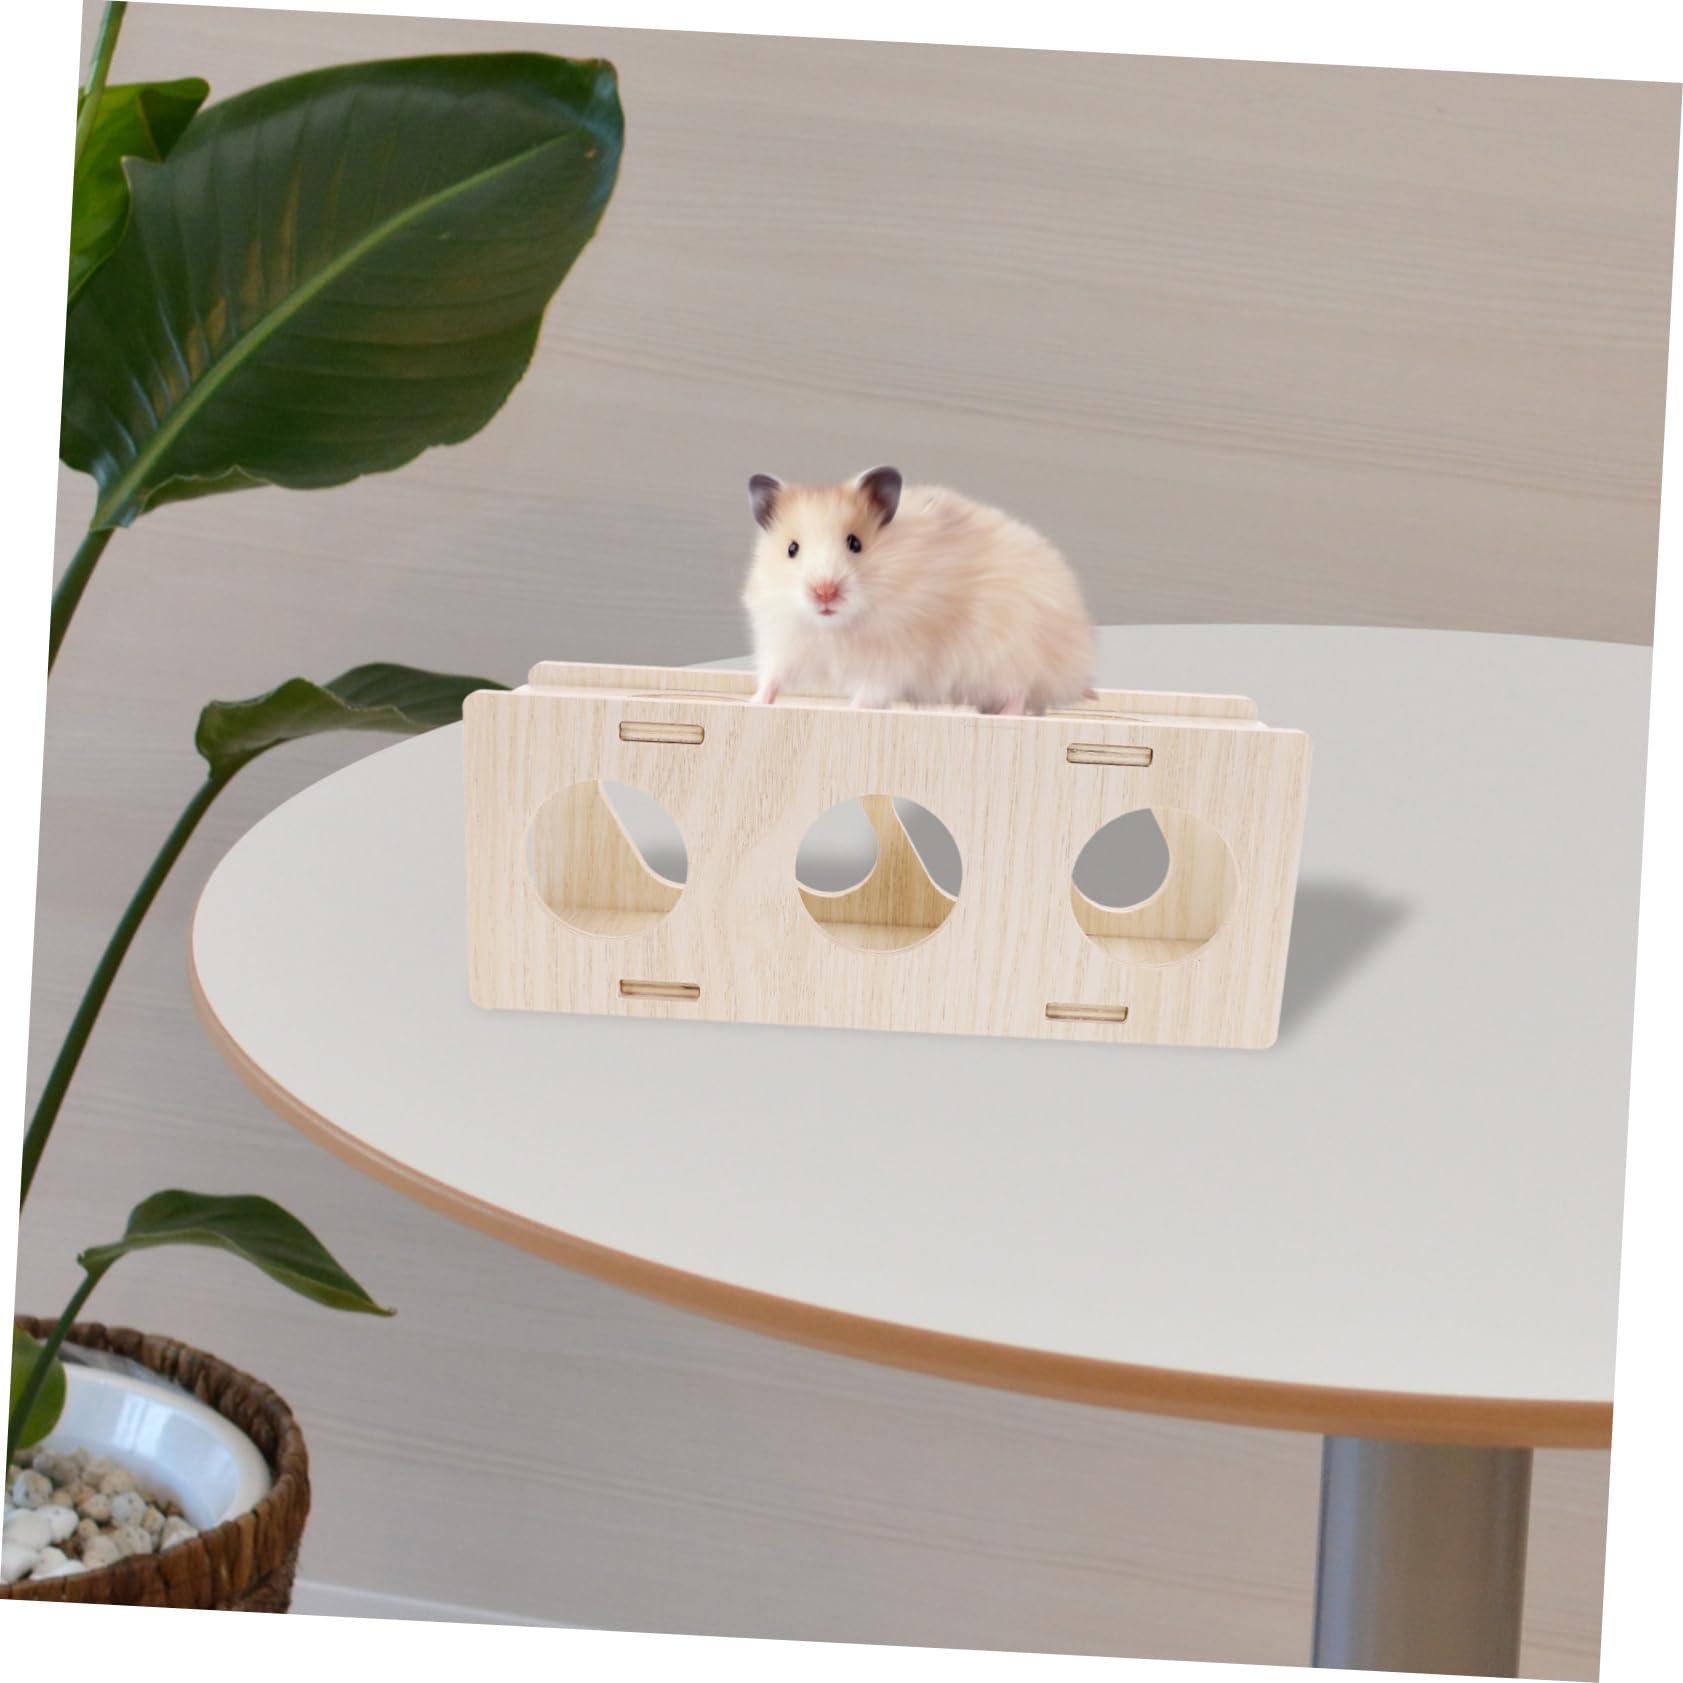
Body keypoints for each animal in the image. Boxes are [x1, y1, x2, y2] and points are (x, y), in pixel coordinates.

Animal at [742, 466, 1096, 714]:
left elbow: (870, 692)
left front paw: (851, 709)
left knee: (1020, 692)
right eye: (791, 549)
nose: (825, 593)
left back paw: (1008, 714)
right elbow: (772, 678)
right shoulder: (785, 642)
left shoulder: (893, 657)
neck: (836, 627)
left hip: (1013, 654)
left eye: (855, 543)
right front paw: (753, 703)